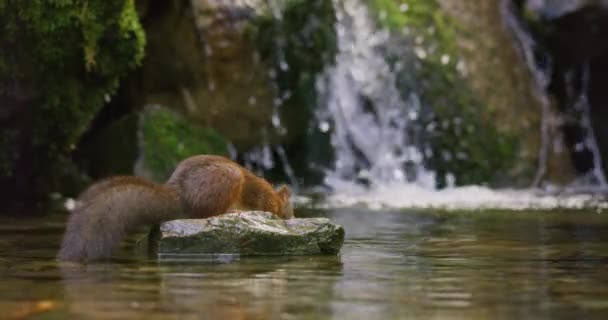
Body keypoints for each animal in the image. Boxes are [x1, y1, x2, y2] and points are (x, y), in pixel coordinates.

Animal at [58, 155, 294, 262]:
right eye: (290, 210)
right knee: (206, 212)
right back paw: (232, 212)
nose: (291, 218)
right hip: (228, 179)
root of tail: (181, 195)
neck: (273, 197)